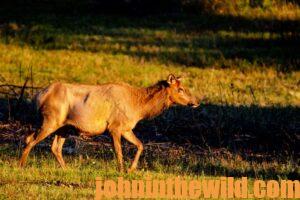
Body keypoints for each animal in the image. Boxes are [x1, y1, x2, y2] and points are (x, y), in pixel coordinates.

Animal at [19, 74, 199, 173]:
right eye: (180, 89)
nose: (196, 102)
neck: (138, 108)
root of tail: (38, 97)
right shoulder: (114, 126)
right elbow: (119, 151)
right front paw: (122, 170)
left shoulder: (126, 128)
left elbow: (140, 145)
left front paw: (130, 169)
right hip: (51, 120)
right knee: (31, 140)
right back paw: (21, 166)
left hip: (64, 127)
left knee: (54, 147)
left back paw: (66, 169)